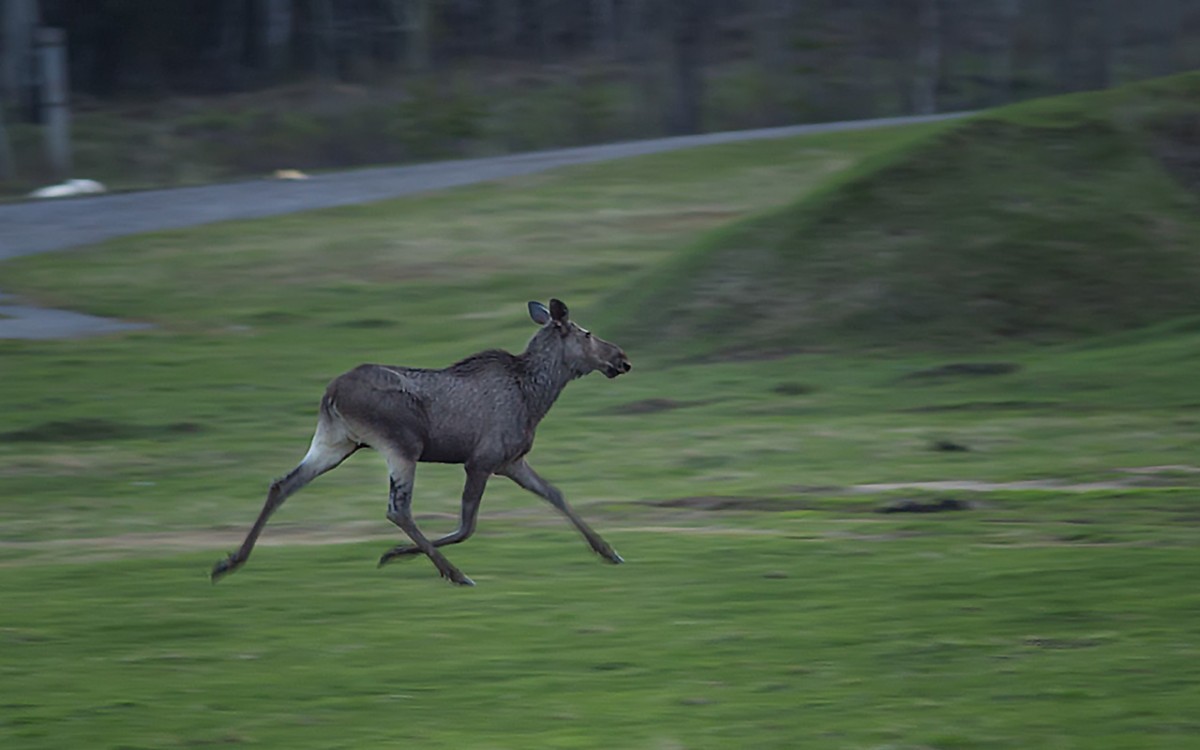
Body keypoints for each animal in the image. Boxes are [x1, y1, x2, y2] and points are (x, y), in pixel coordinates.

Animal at [211, 298, 633, 585]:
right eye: (587, 333)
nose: (622, 358)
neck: (537, 397)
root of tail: (331, 394)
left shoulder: (511, 461)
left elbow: (555, 494)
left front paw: (608, 550)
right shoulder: (481, 460)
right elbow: (467, 525)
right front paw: (397, 553)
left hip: (334, 442)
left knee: (282, 484)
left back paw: (231, 561)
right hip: (401, 445)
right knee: (398, 509)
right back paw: (454, 573)